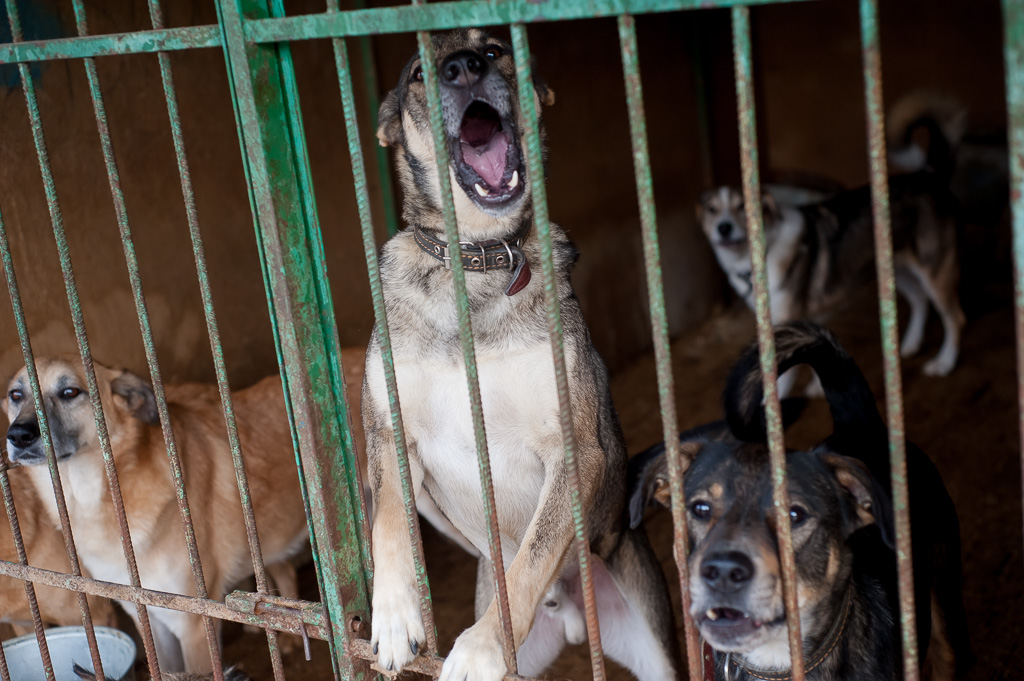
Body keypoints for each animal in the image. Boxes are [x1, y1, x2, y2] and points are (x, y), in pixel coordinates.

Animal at [4, 358, 307, 671]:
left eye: (70, 392)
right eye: (16, 395)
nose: (18, 435)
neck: (97, 500)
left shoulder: (194, 623)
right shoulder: (147, 613)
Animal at [700, 171, 962, 376]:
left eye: (743, 206)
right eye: (711, 210)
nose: (724, 228)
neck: (764, 249)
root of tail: (929, 178)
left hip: (935, 271)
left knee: (955, 318)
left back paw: (944, 363)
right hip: (898, 270)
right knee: (920, 300)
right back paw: (910, 343)